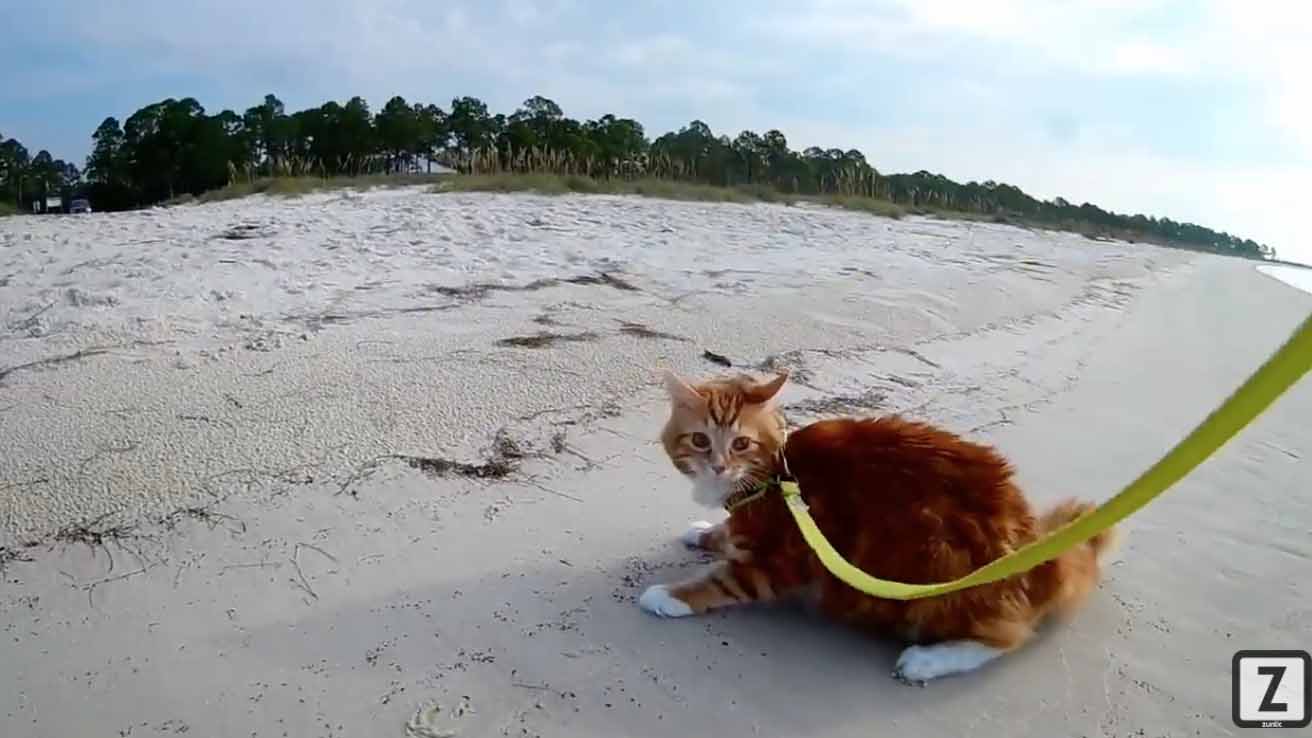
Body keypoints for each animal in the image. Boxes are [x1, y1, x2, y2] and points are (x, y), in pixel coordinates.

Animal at [640, 370, 1112, 682]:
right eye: (700, 440)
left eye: (740, 444)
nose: (719, 467)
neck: (774, 473)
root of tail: (1037, 549)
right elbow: (724, 534)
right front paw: (704, 530)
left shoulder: (782, 559)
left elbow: (721, 581)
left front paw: (669, 595)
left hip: (937, 569)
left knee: (1007, 638)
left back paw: (926, 660)